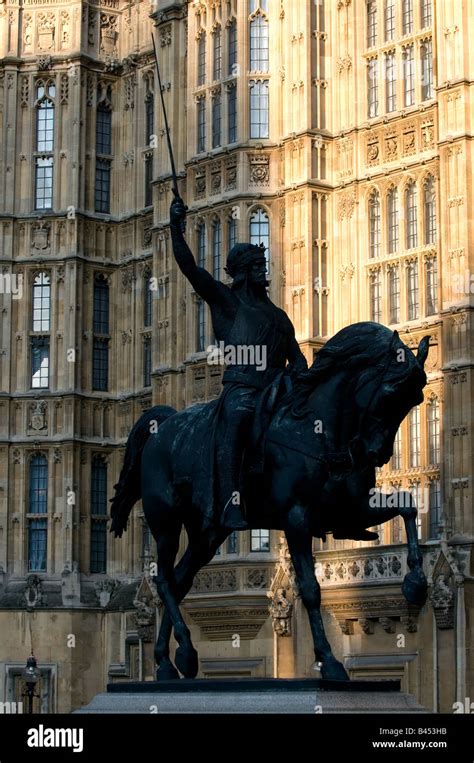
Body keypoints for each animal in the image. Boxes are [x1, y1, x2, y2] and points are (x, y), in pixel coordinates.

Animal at [110, 320, 430, 684]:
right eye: (391, 394)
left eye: (415, 398)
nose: (376, 453)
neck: (322, 428)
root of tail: (163, 425)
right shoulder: (297, 516)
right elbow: (310, 588)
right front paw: (329, 660)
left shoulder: (349, 509)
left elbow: (407, 505)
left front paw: (416, 582)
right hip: (166, 522)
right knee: (164, 579)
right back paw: (180, 654)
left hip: (208, 532)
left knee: (178, 581)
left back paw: (169, 660)